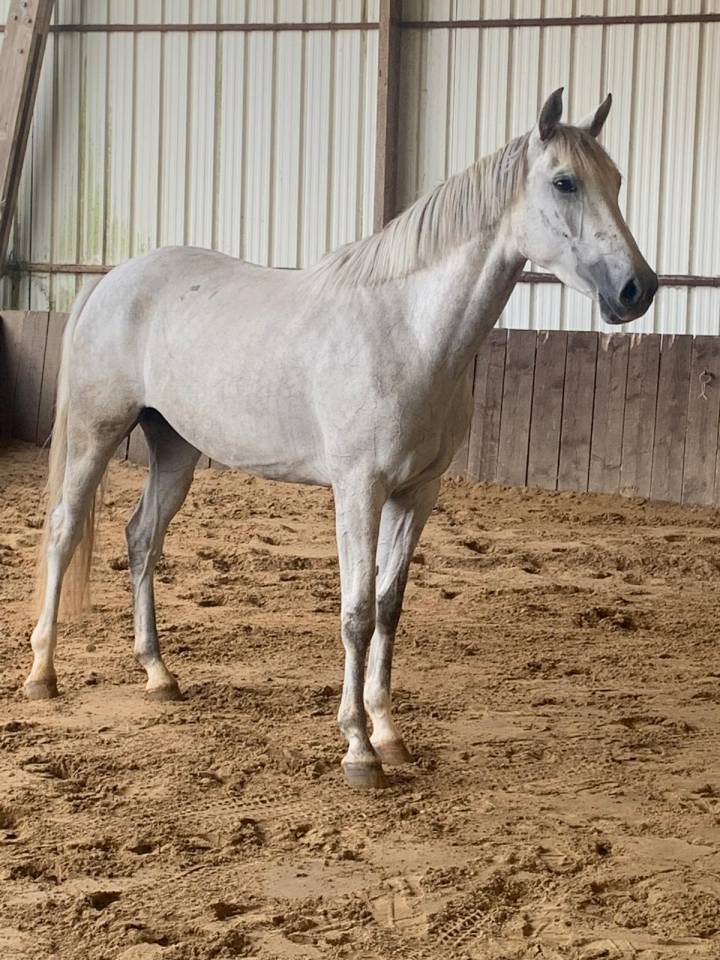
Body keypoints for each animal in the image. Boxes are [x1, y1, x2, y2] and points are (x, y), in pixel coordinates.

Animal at [25, 89, 657, 789]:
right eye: (565, 181)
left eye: (617, 180)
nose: (637, 289)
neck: (407, 330)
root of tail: (111, 279)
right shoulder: (359, 490)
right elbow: (355, 614)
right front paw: (358, 748)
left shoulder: (418, 493)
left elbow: (388, 607)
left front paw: (389, 734)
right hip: (96, 432)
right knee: (63, 531)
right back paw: (42, 675)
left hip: (175, 449)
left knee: (142, 539)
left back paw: (159, 675)